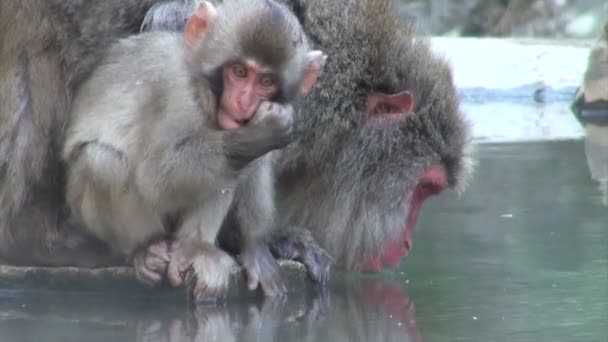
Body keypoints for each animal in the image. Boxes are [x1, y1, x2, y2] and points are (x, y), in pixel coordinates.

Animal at [61, 0, 326, 300]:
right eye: (239, 71)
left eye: (266, 81)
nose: (243, 102)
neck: (205, 85)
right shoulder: (177, 94)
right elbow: (156, 179)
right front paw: (262, 132)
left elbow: (255, 160)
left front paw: (255, 246)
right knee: (102, 161)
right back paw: (147, 248)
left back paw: (196, 248)